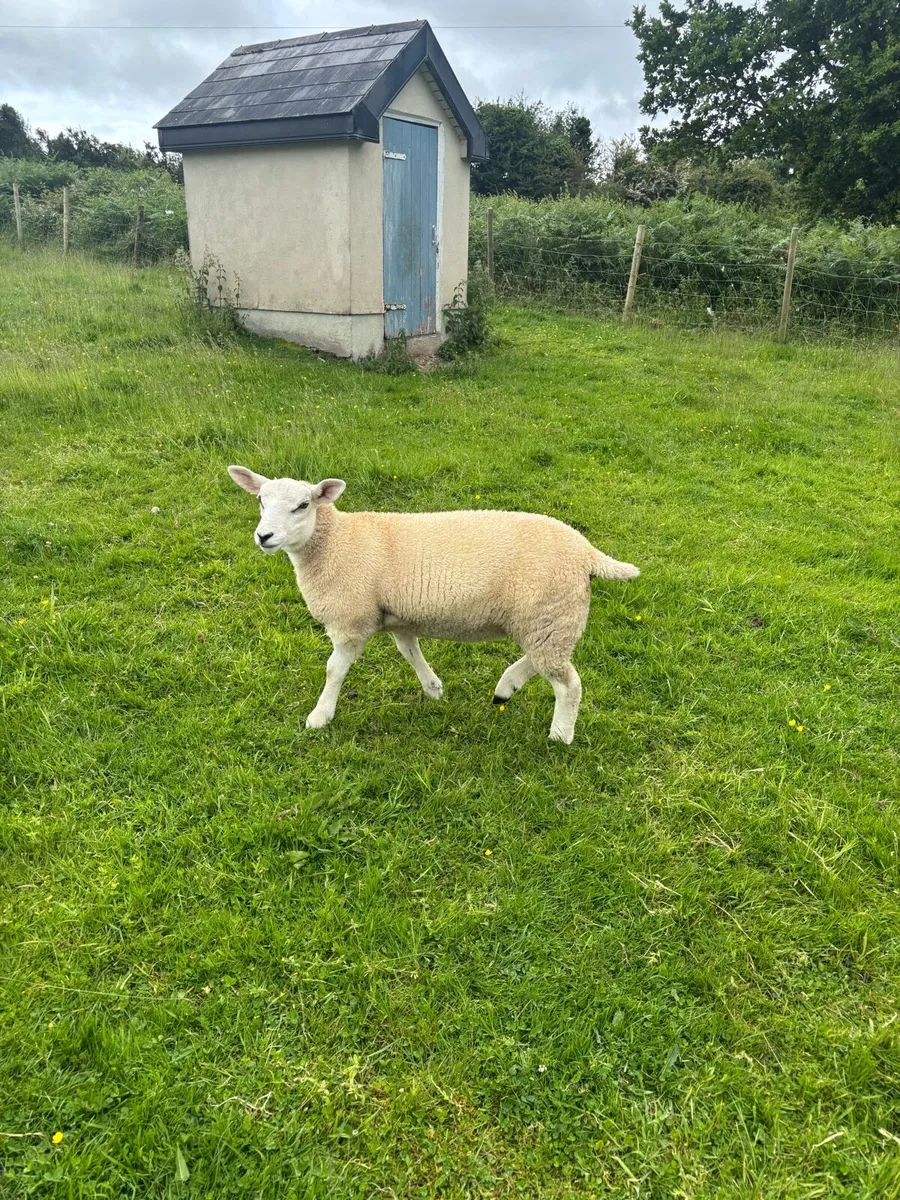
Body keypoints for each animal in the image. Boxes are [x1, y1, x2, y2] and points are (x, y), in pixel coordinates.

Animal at [227, 466, 639, 743]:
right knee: (542, 662)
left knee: (568, 684)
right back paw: (506, 687)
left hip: (548, 614)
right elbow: (410, 652)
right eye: (261, 500)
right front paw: (433, 689)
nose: (264, 536)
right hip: (547, 619)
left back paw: (559, 735)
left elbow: (334, 670)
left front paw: (320, 716)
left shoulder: (351, 619)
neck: (335, 542)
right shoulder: (396, 617)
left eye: (302, 505)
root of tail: (587, 554)